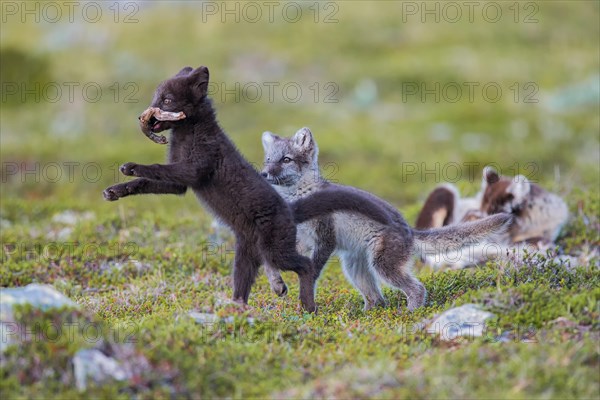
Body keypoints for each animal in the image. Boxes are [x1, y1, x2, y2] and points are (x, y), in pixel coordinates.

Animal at [103, 65, 394, 314]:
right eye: (156, 97)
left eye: (166, 101)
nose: (143, 116)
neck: (189, 134)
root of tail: (289, 211)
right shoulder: (180, 184)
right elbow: (148, 182)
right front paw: (116, 191)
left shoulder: (196, 168)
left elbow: (155, 168)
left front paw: (132, 166)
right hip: (246, 256)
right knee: (244, 287)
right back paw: (236, 310)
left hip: (276, 250)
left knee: (307, 265)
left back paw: (307, 306)